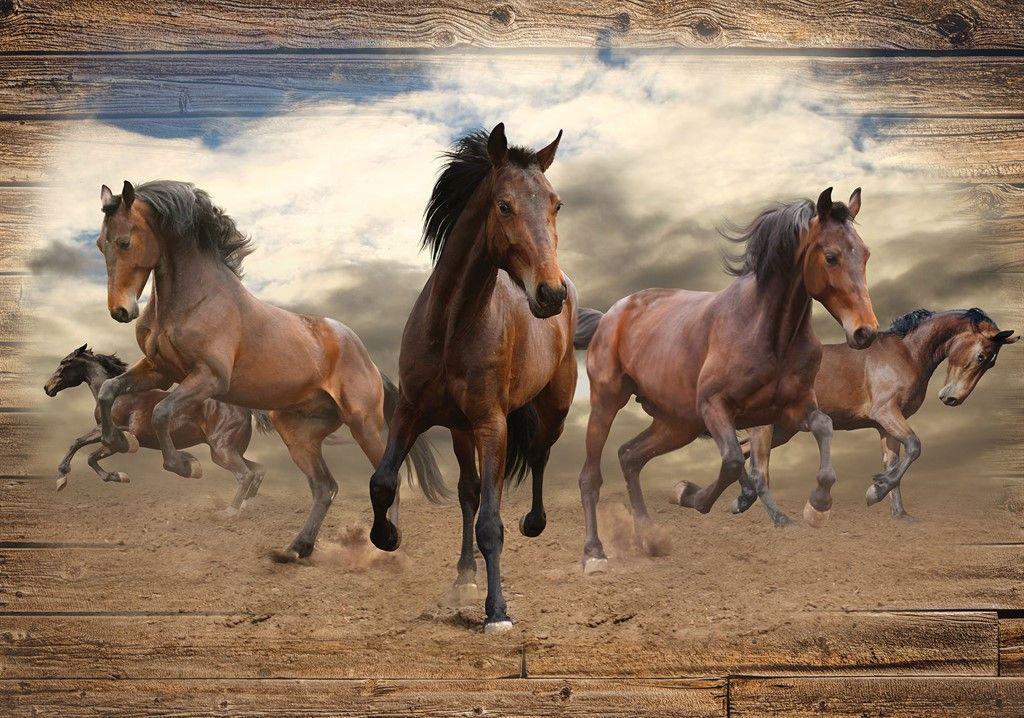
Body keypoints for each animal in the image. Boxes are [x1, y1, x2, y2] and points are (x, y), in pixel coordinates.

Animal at [44, 343, 270, 511]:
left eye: (64, 363)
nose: (47, 387)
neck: (119, 396)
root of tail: (244, 408)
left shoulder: (111, 433)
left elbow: (86, 447)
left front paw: (62, 477)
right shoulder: (108, 437)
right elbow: (86, 452)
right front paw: (117, 477)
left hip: (222, 451)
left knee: (245, 474)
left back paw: (231, 511)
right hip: (228, 451)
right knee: (257, 470)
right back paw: (245, 505)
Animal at [92, 179, 444, 561]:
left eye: (124, 241)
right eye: (99, 243)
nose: (120, 312)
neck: (196, 299)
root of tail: (370, 362)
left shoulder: (208, 378)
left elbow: (160, 411)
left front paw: (187, 466)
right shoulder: (160, 371)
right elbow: (108, 391)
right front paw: (119, 441)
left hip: (362, 423)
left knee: (385, 477)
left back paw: (386, 543)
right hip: (297, 433)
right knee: (325, 487)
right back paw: (297, 549)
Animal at [366, 124, 576, 633]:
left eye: (556, 204)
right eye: (503, 205)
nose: (550, 293)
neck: (451, 327)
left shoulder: (491, 424)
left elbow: (491, 523)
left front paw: (497, 611)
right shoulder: (411, 411)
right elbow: (383, 481)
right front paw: (387, 536)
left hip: (552, 409)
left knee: (538, 455)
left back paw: (533, 524)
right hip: (460, 430)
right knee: (468, 491)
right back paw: (464, 574)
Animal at [573, 188, 878, 572]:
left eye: (865, 254)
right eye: (831, 256)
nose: (865, 332)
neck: (769, 333)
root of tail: (608, 317)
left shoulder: (793, 408)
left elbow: (823, 426)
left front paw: (818, 505)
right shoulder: (715, 406)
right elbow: (733, 459)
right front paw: (691, 495)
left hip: (678, 424)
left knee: (629, 457)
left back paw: (650, 537)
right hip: (608, 401)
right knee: (591, 475)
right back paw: (594, 553)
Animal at [736, 307, 1018, 523]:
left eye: (991, 363)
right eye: (981, 356)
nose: (952, 399)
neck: (906, 353)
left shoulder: (885, 426)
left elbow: (894, 463)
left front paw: (899, 513)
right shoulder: (886, 413)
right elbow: (915, 446)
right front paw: (876, 490)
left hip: (781, 431)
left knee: (742, 454)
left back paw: (741, 501)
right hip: (765, 429)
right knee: (758, 472)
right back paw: (777, 518)